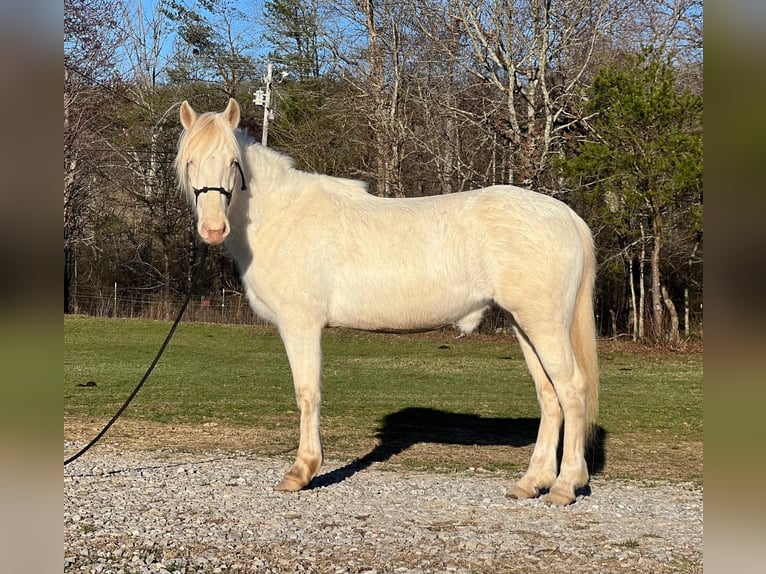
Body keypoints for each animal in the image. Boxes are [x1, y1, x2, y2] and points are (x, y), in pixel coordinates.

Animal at [176, 100, 600, 508]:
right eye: (190, 162)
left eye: (232, 162)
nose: (213, 229)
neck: (282, 216)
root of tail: (566, 215)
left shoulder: (300, 324)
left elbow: (307, 393)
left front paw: (301, 472)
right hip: (523, 324)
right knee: (549, 396)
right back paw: (531, 483)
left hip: (545, 325)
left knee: (571, 390)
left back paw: (564, 487)